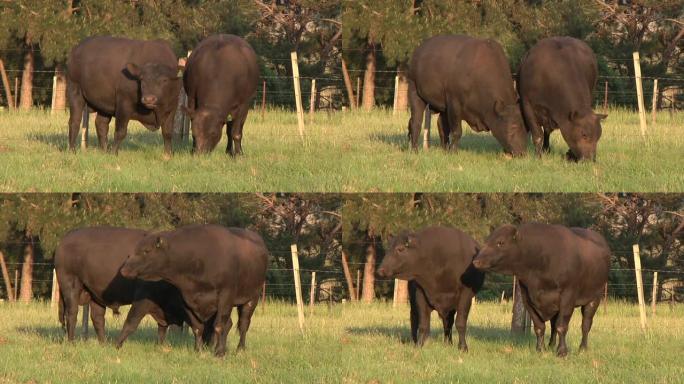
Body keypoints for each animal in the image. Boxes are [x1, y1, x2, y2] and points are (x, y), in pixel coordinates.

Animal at [55, 226, 208, 346]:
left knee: (97, 318)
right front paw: (117, 345)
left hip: (94, 295)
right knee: (72, 314)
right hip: (70, 287)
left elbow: (163, 328)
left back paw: (103, 343)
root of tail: (64, 240)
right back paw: (71, 342)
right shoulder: (142, 300)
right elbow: (132, 322)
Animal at [119, 224, 268, 356]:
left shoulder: (226, 296)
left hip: (252, 298)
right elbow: (197, 327)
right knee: (229, 324)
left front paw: (219, 353)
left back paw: (240, 349)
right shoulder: (187, 299)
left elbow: (219, 326)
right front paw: (199, 350)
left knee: (243, 324)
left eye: (146, 251)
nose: (124, 270)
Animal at [472, 222, 612, 356]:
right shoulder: (527, 297)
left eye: (500, 242)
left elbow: (562, 326)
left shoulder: (568, 296)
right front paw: (540, 349)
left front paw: (562, 351)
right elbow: (540, 327)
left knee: (586, 324)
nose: (476, 261)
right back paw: (551, 345)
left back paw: (582, 348)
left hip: (595, 297)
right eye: (487, 240)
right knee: (554, 325)